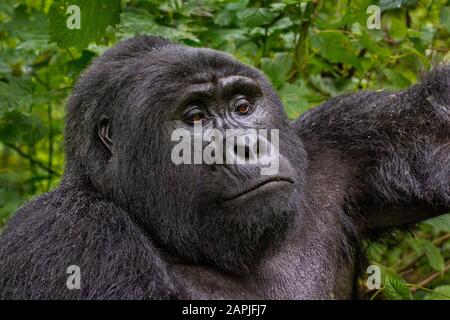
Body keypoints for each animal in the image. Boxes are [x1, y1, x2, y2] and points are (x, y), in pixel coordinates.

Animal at [0, 35, 448, 300]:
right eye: (195, 118)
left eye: (243, 107)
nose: (248, 146)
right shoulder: (66, 234)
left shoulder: (334, 146)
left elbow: (436, 129)